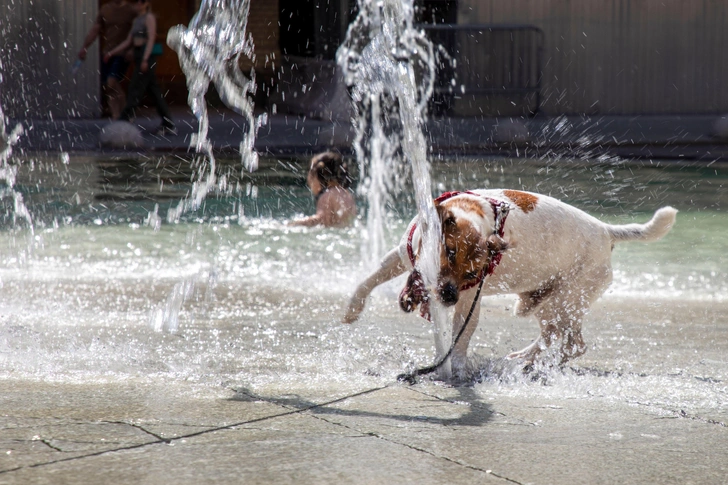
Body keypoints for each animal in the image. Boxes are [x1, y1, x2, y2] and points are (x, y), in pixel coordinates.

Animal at [342, 188, 676, 374]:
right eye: (448, 252)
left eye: (473, 273)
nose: (448, 296)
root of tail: (607, 231)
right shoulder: (401, 255)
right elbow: (369, 278)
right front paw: (352, 310)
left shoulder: (470, 300)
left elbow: (460, 336)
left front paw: (454, 368)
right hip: (543, 302)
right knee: (553, 336)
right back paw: (521, 358)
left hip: (564, 300)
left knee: (573, 344)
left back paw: (530, 365)